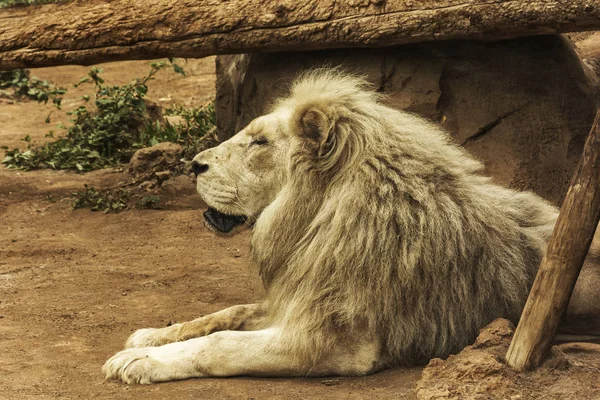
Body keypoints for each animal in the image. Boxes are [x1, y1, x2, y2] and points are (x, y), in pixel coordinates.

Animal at [104, 69, 600, 384]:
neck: (315, 219)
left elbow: (221, 344)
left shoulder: (335, 342)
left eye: (259, 142)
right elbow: (226, 314)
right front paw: (151, 336)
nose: (194, 165)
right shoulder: (300, 295)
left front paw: (139, 360)